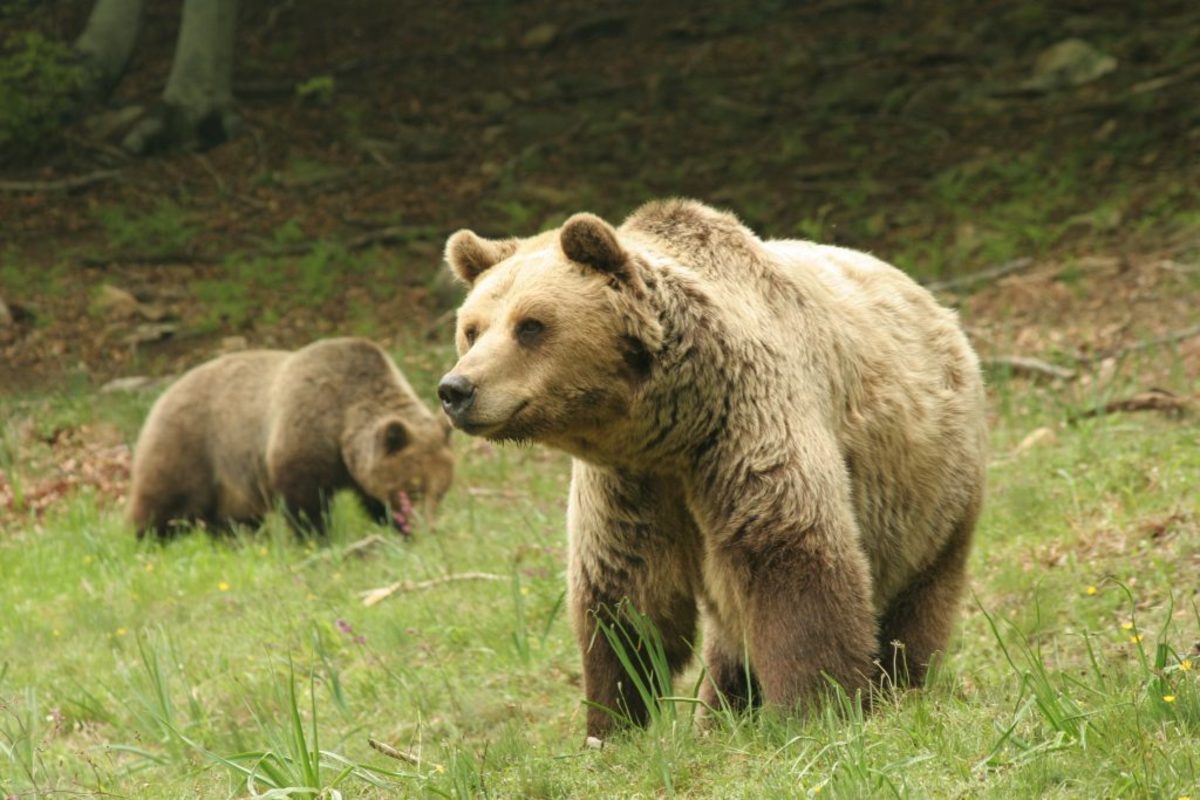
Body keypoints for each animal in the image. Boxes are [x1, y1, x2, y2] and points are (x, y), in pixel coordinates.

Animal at [127, 335, 453, 537]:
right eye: (413, 489)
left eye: (441, 492)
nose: (426, 527)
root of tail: (163, 394)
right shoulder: (303, 433)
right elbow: (304, 501)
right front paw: (316, 537)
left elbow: (373, 498)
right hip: (190, 444)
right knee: (164, 500)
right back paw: (147, 538)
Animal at [439, 199, 984, 738]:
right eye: (472, 329)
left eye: (530, 325)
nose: (456, 389)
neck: (673, 427)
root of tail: (935, 304)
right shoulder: (630, 486)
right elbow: (626, 596)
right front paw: (612, 723)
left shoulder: (746, 427)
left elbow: (793, 563)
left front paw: (815, 708)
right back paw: (724, 711)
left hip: (931, 492)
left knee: (917, 598)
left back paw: (901, 686)